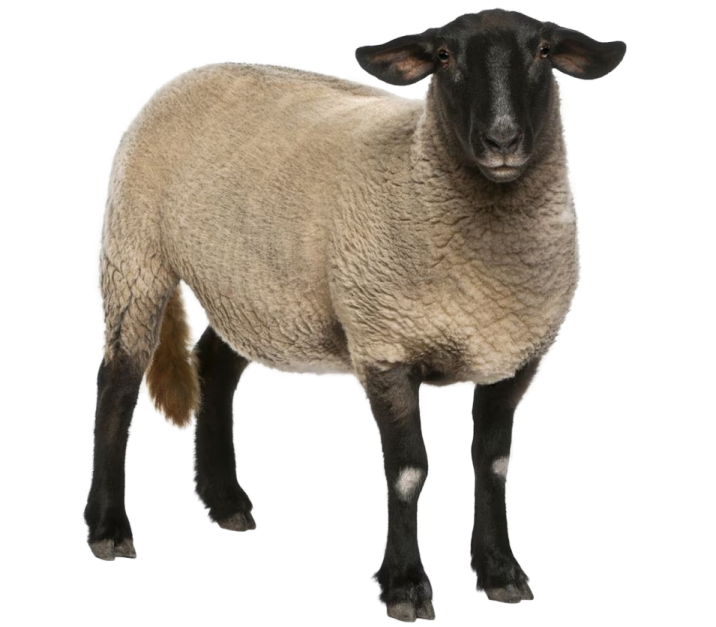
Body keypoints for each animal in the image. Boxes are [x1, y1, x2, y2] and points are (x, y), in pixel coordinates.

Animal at [85, 7, 626, 621]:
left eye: (543, 52)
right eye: (444, 57)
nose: (503, 139)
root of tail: (188, 74)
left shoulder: (514, 357)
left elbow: (495, 466)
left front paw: (500, 572)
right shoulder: (384, 346)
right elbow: (409, 473)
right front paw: (407, 587)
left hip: (251, 288)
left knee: (213, 369)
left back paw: (224, 502)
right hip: (135, 253)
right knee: (118, 384)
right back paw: (108, 528)